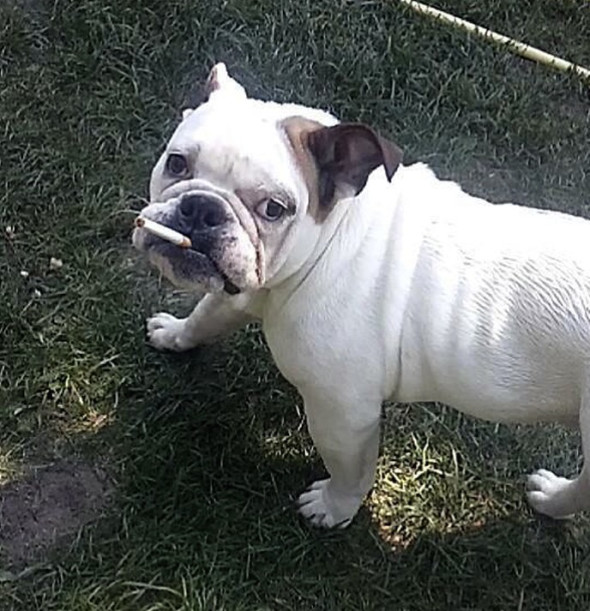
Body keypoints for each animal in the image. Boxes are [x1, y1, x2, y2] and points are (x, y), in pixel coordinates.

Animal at [133, 63, 590, 528]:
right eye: (176, 163)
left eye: (274, 209)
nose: (203, 209)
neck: (329, 238)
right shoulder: (242, 292)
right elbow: (206, 315)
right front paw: (175, 333)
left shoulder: (343, 415)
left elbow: (350, 469)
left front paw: (335, 507)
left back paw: (552, 498)